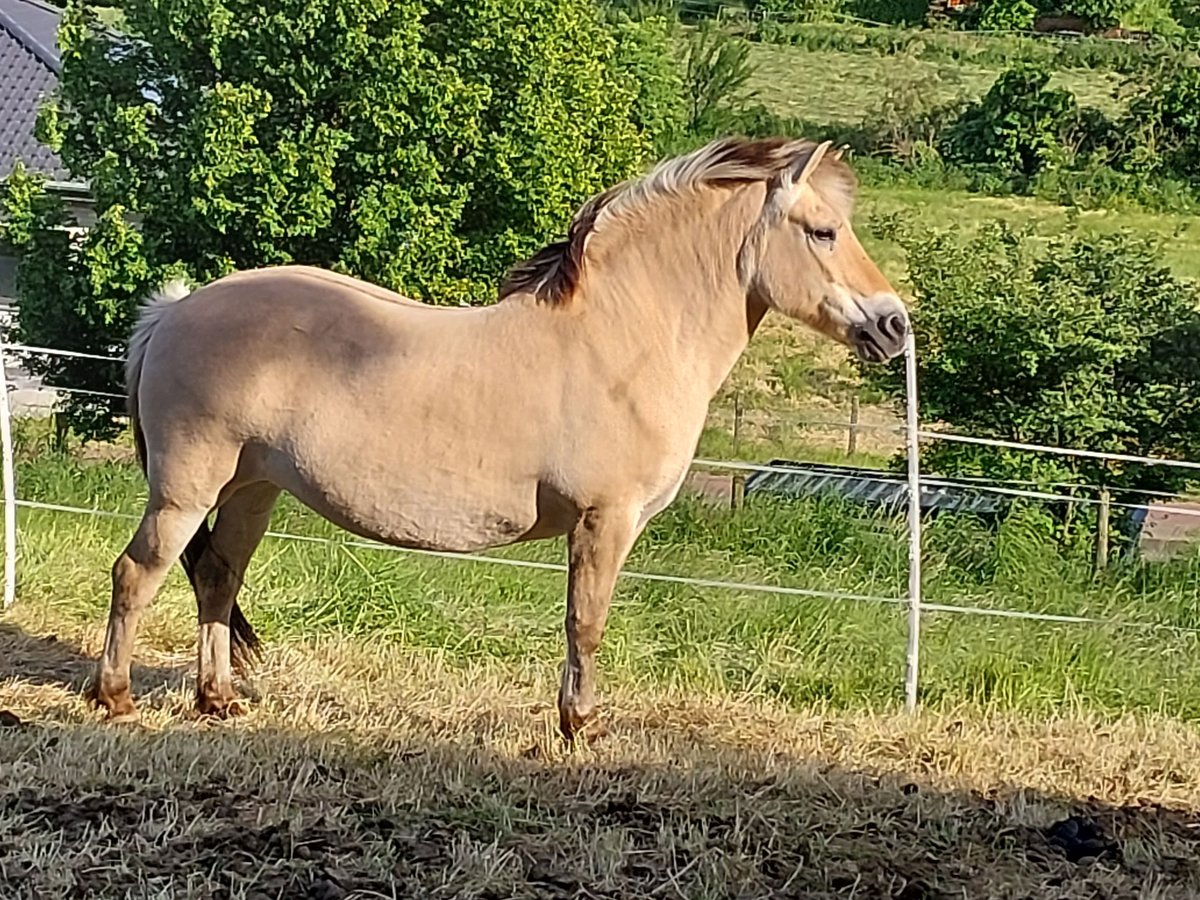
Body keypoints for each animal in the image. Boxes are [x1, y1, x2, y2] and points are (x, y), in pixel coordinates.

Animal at [87, 133, 907, 739]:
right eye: (824, 231)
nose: (894, 324)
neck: (621, 340)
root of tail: (174, 309)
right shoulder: (605, 521)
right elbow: (586, 624)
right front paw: (580, 727)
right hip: (187, 489)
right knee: (138, 574)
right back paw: (115, 697)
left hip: (252, 489)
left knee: (218, 577)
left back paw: (217, 700)